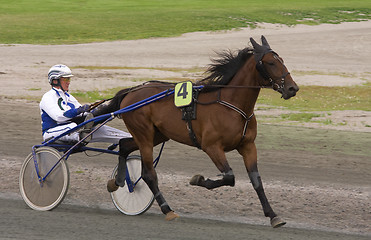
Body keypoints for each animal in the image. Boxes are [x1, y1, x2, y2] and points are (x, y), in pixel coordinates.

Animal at [93, 35, 300, 227]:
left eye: (282, 60)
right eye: (271, 62)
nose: (293, 88)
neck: (232, 106)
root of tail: (131, 91)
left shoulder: (248, 146)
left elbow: (256, 180)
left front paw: (273, 216)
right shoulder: (211, 146)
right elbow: (229, 177)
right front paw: (198, 179)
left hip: (157, 135)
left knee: (124, 145)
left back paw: (117, 182)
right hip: (144, 135)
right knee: (148, 174)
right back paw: (167, 209)